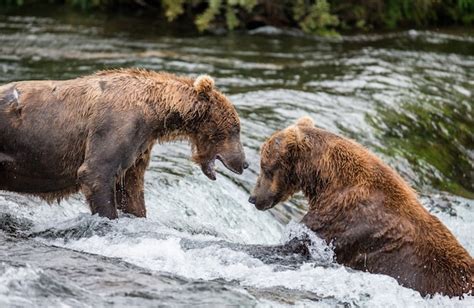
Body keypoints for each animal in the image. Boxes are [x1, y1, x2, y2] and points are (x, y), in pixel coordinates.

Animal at [0, 69, 250, 219]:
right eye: (235, 129)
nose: (245, 163)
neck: (157, 113)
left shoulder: (140, 145)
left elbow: (130, 189)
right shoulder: (118, 126)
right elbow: (96, 172)